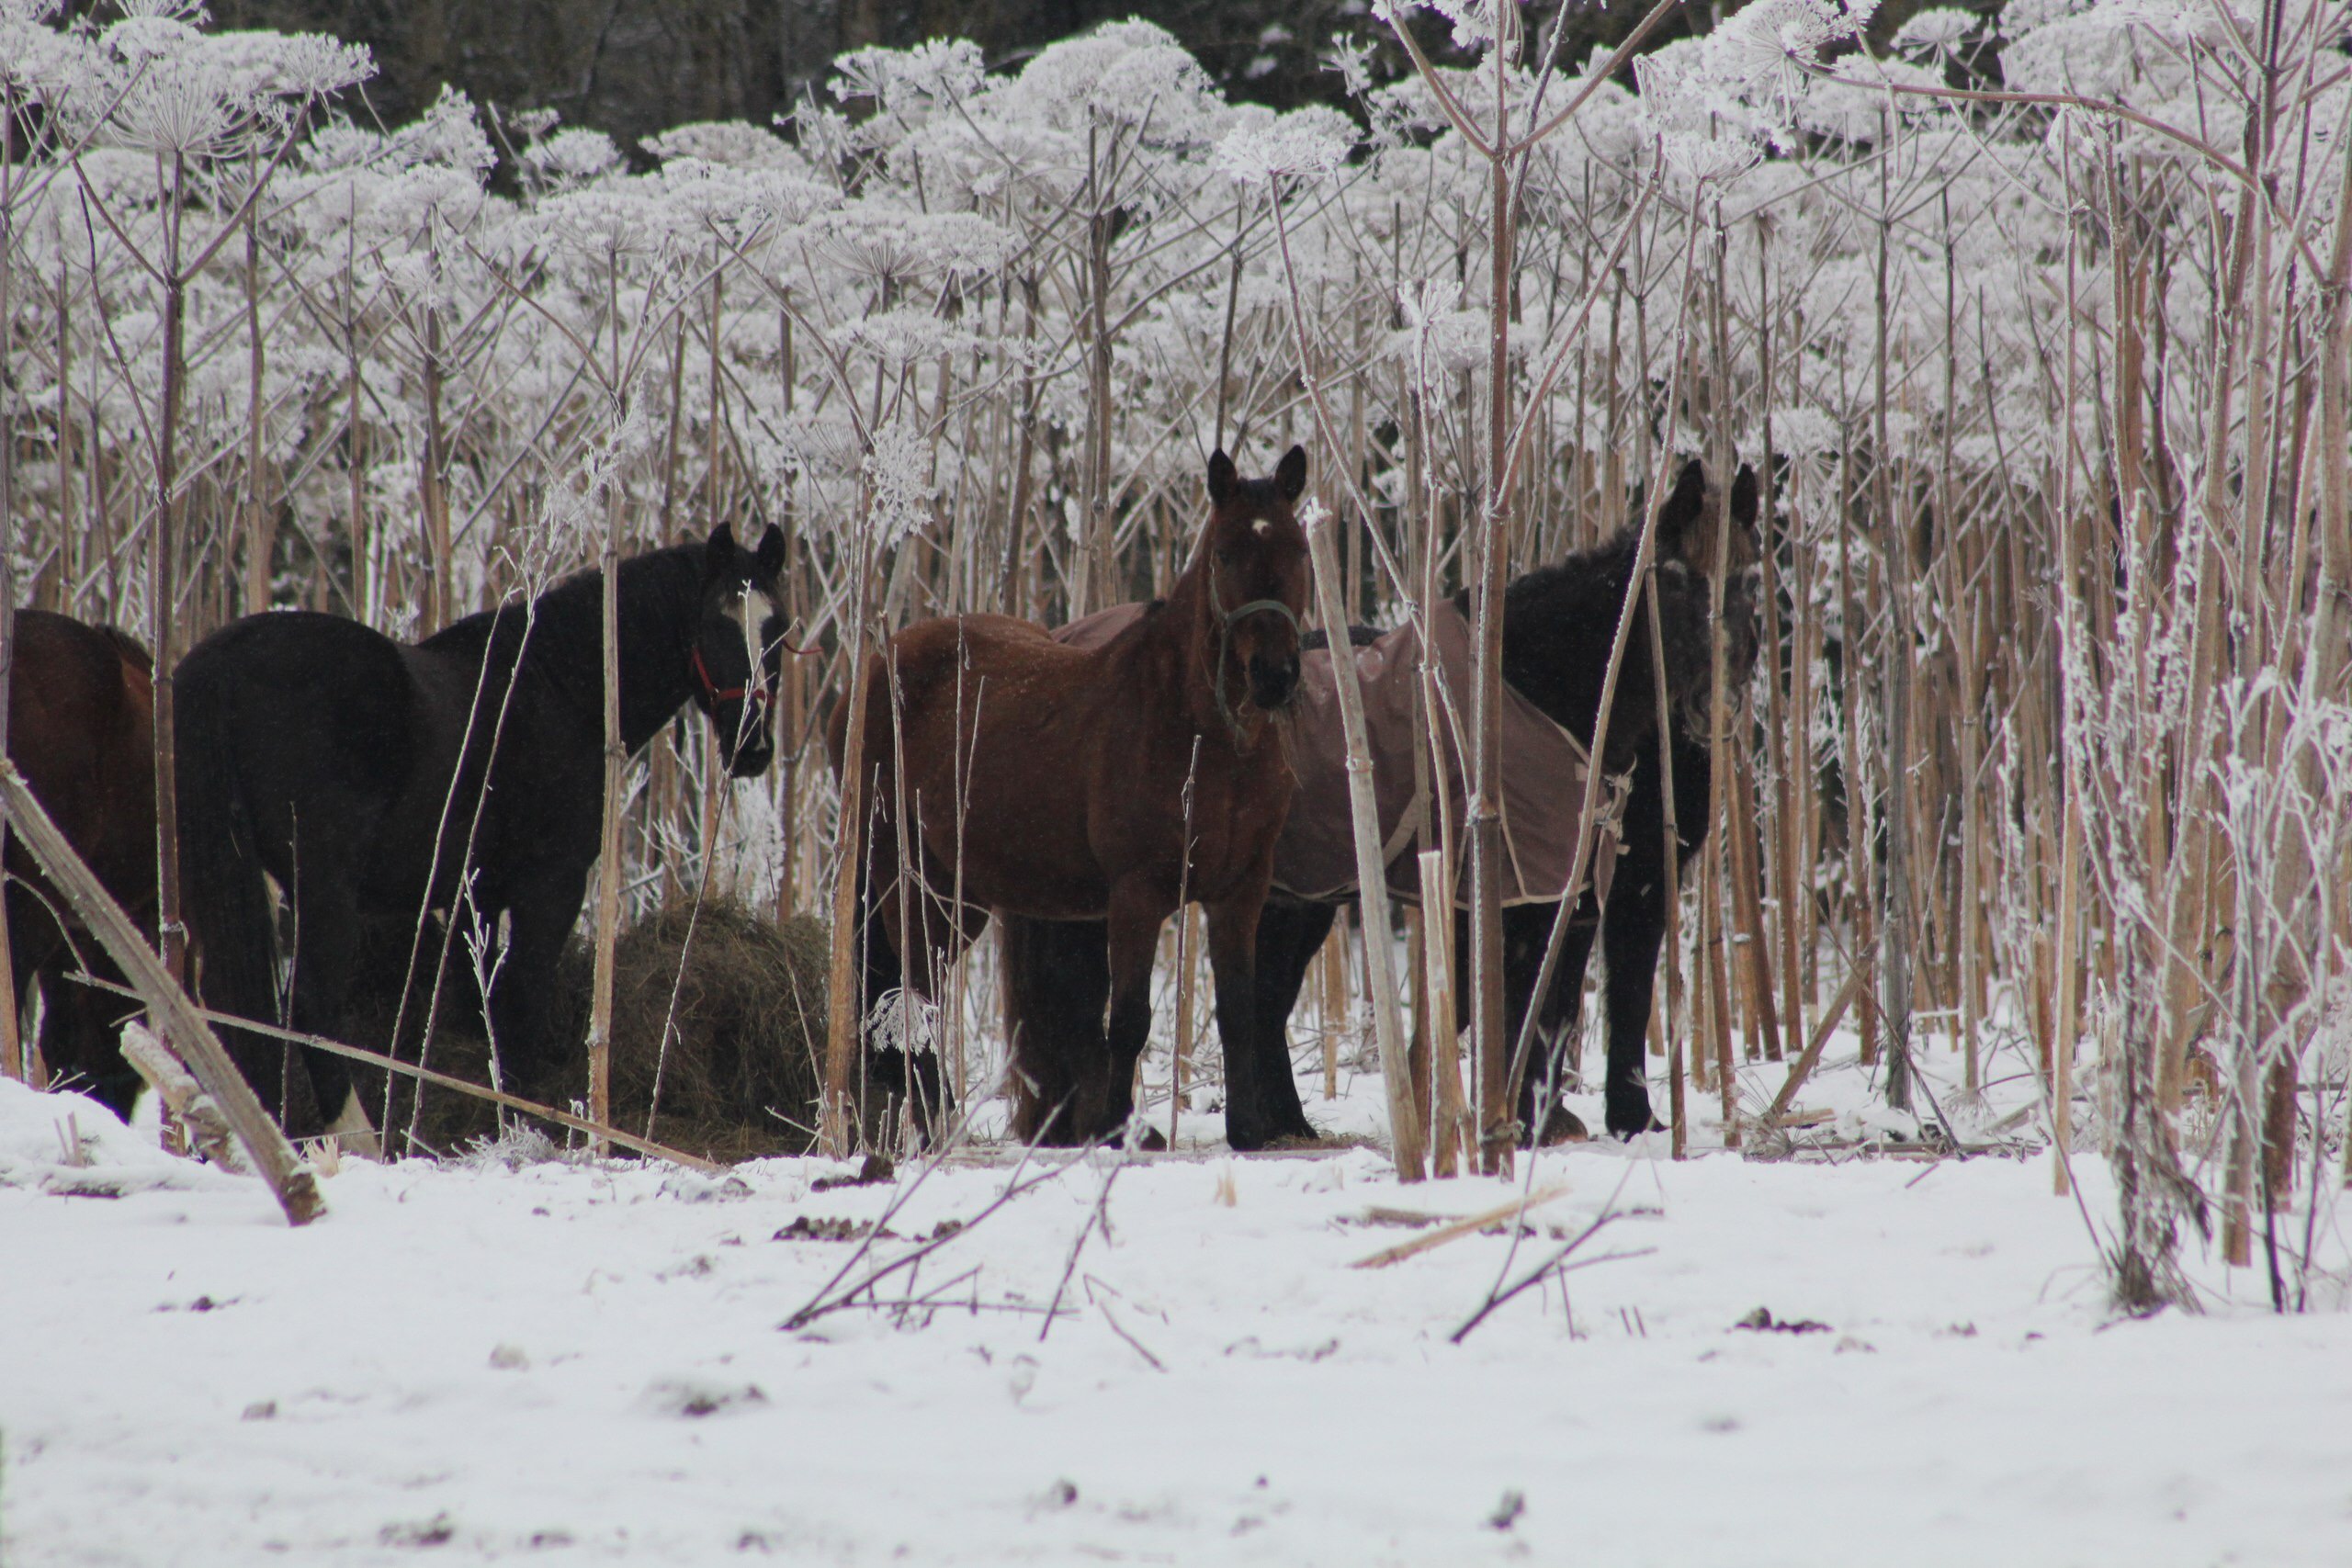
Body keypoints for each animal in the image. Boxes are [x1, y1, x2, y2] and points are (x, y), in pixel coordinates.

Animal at [173, 523, 789, 1144]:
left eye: (778, 631)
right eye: (714, 626)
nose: (753, 747)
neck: (560, 688)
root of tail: (219, 661)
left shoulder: (481, 892)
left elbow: (480, 999)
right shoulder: (552, 881)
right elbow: (522, 999)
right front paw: (523, 1123)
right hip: (323, 885)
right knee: (310, 1006)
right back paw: (360, 1137)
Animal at [833, 446, 1310, 1150]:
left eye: (1300, 550)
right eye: (1224, 554)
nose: (1274, 676)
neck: (1207, 738)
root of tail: (870, 671)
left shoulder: (1241, 891)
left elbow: (1238, 1010)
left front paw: (1247, 1129)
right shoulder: (1137, 893)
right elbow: (1130, 1018)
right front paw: (1116, 1130)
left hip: (960, 894)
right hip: (910, 879)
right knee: (914, 995)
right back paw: (936, 1121)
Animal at [1004, 459, 1759, 1147]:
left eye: (1750, 576)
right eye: (1676, 580)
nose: (1716, 703)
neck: (1526, 688)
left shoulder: (1572, 892)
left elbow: (1551, 1007)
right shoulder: (1522, 894)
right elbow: (1520, 1007)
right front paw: (1521, 1124)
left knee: (1249, 1004)